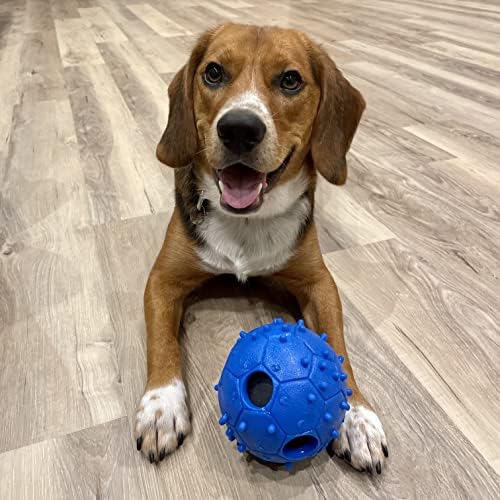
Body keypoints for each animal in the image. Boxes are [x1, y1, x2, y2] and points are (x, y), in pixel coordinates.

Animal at [135, 23, 388, 474]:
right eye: (213, 72)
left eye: (290, 80)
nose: (239, 128)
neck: (246, 223)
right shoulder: (162, 280)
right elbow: (161, 342)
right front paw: (161, 407)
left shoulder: (320, 284)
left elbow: (338, 348)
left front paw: (357, 417)